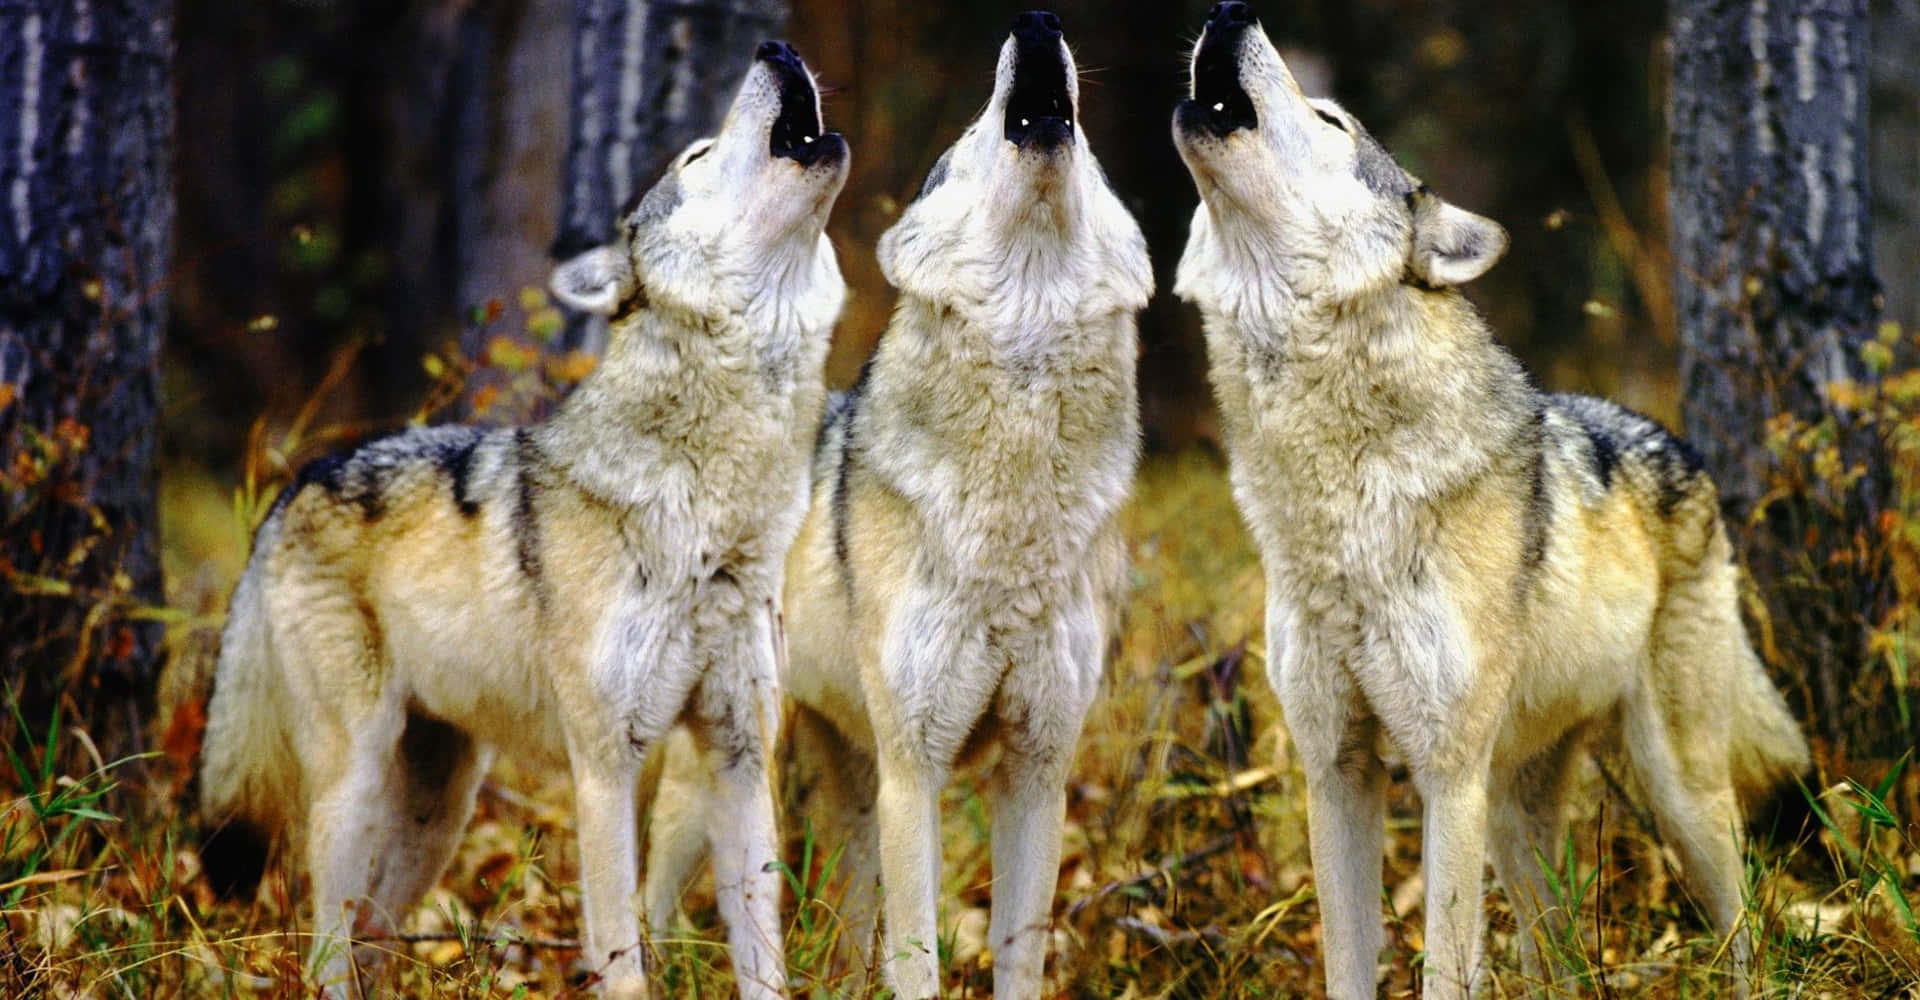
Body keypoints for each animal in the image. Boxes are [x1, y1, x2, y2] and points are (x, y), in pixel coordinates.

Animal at [195, 40, 848, 1000]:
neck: (714, 513)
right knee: (324, 950)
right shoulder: (604, 768)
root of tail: (298, 480)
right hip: (353, 786)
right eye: (695, 154)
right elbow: (620, 955)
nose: (778, 47)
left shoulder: (737, 758)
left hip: (439, 811)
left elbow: (761, 955)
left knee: (375, 937)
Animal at [641, 12, 1149, 998]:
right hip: (732, 775)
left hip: (851, 792)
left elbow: (1018, 958)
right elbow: (917, 962)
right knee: (649, 901)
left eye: (1098, 157)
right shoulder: (918, 774)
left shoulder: (1037, 772)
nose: (1037, 21)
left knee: (843, 941)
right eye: (972, 132)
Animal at [1170, 4, 1809, 997]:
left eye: (1329, 119)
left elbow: (1444, 965)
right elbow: (1349, 962)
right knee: (1561, 958)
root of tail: (1679, 444)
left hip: (1676, 792)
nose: (1229, 12)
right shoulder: (1336, 769)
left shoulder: (1447, 776)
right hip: (1517, 818)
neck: (1335, 501)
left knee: (1743, 928)